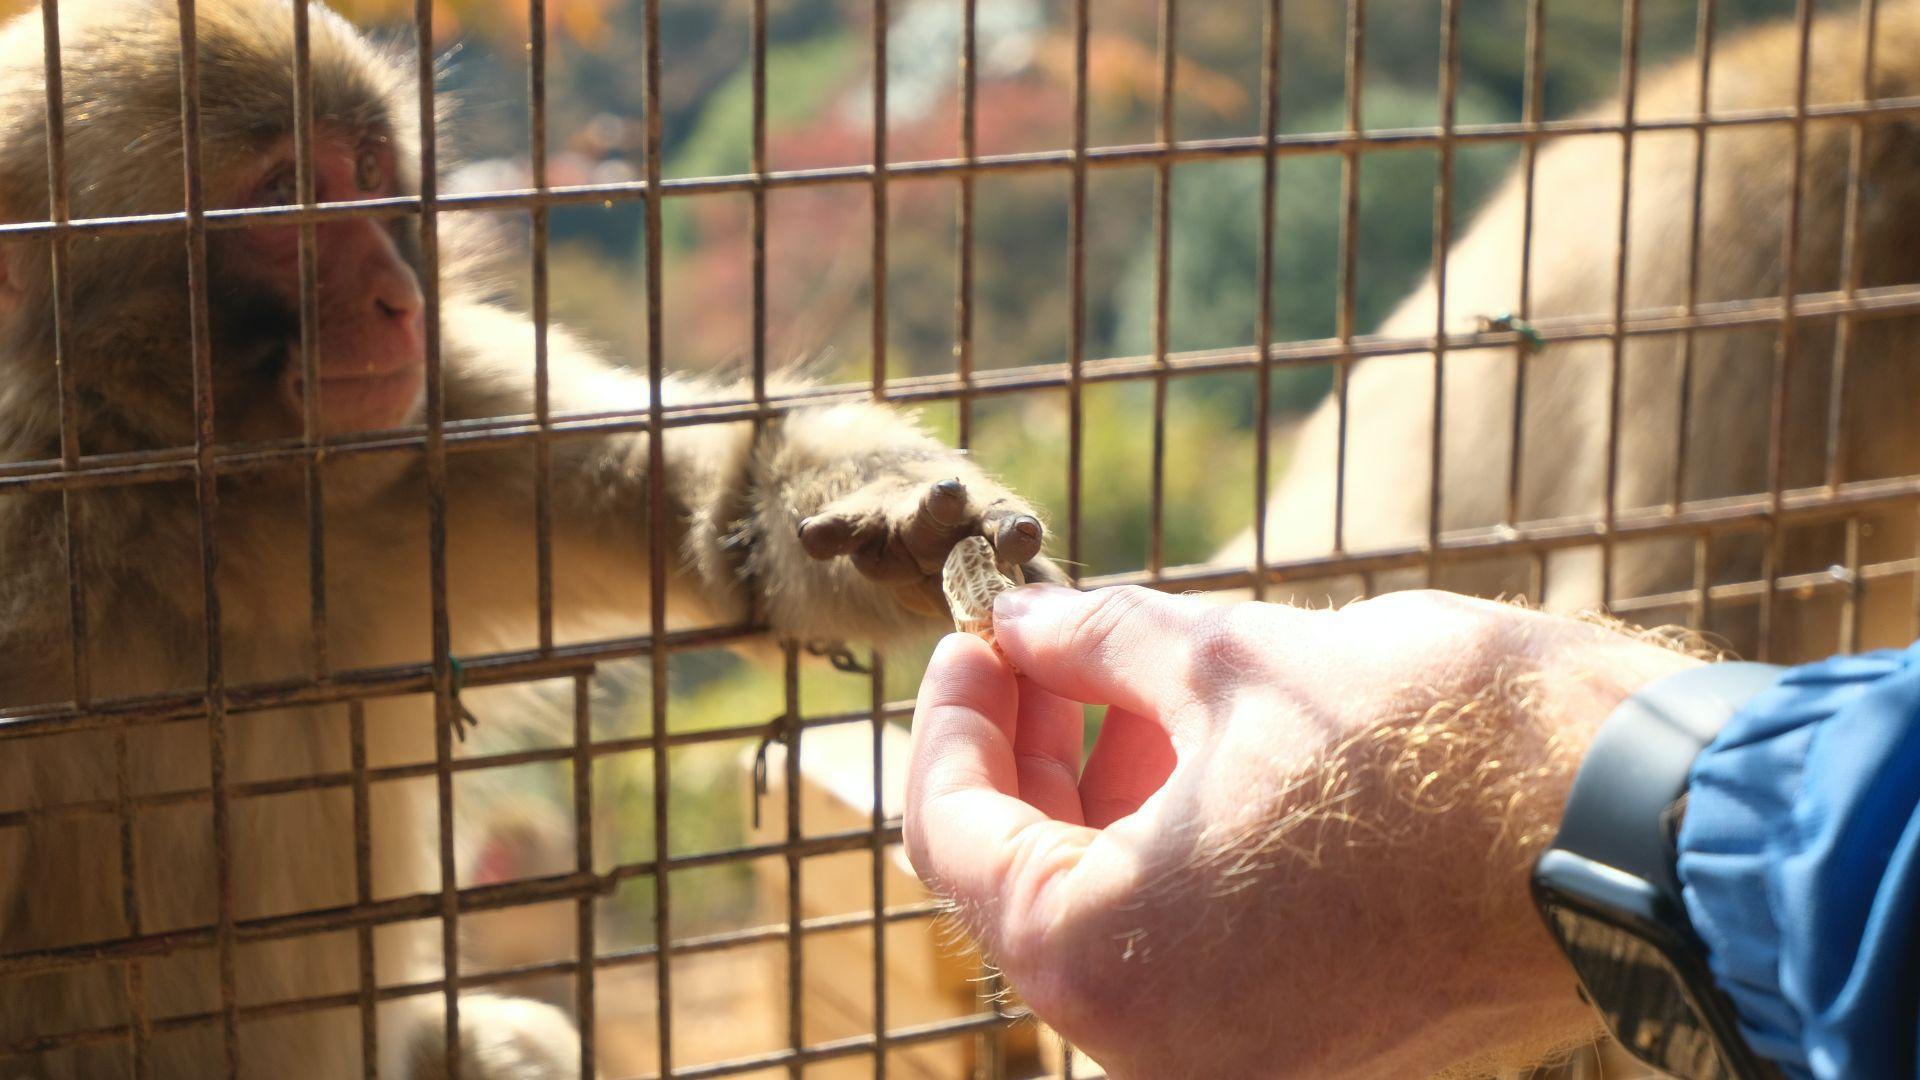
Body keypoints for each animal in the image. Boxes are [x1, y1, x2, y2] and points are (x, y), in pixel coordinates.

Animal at [0, 2, 1058, 1077]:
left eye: (369, 166)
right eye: (281, 197)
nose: (396, 296)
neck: (195, 508)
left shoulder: (442, 414)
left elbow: (705, 521)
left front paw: (895, 518)